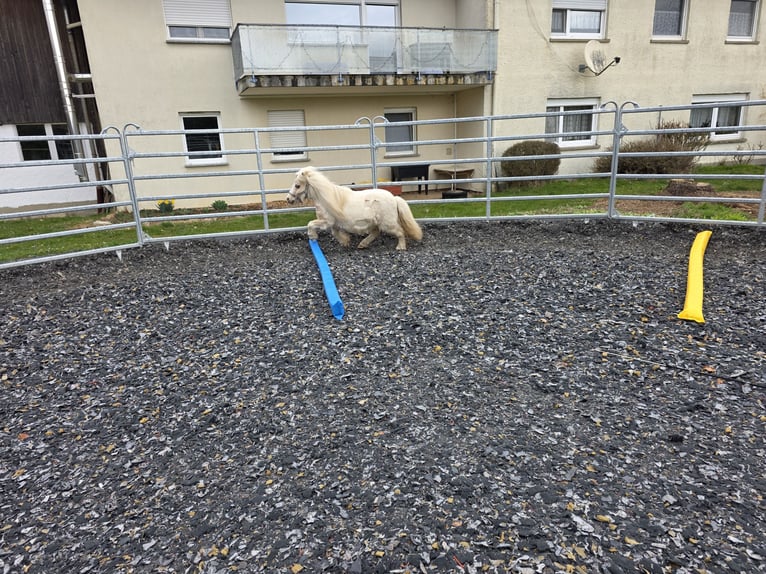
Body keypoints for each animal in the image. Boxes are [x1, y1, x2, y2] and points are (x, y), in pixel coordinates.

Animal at [286, 166, 423, 251]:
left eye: (297, 185)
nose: (288, 199)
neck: (327, 199)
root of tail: (394, 198)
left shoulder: (326, 221)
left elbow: (310, 224)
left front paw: (312, 236)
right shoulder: (334, 223)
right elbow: (335, 232)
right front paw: (345, 242)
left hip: (387, 223)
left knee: (400, 232)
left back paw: (400, 247)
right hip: (375, 223)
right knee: (376, 232)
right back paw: (362, 244)